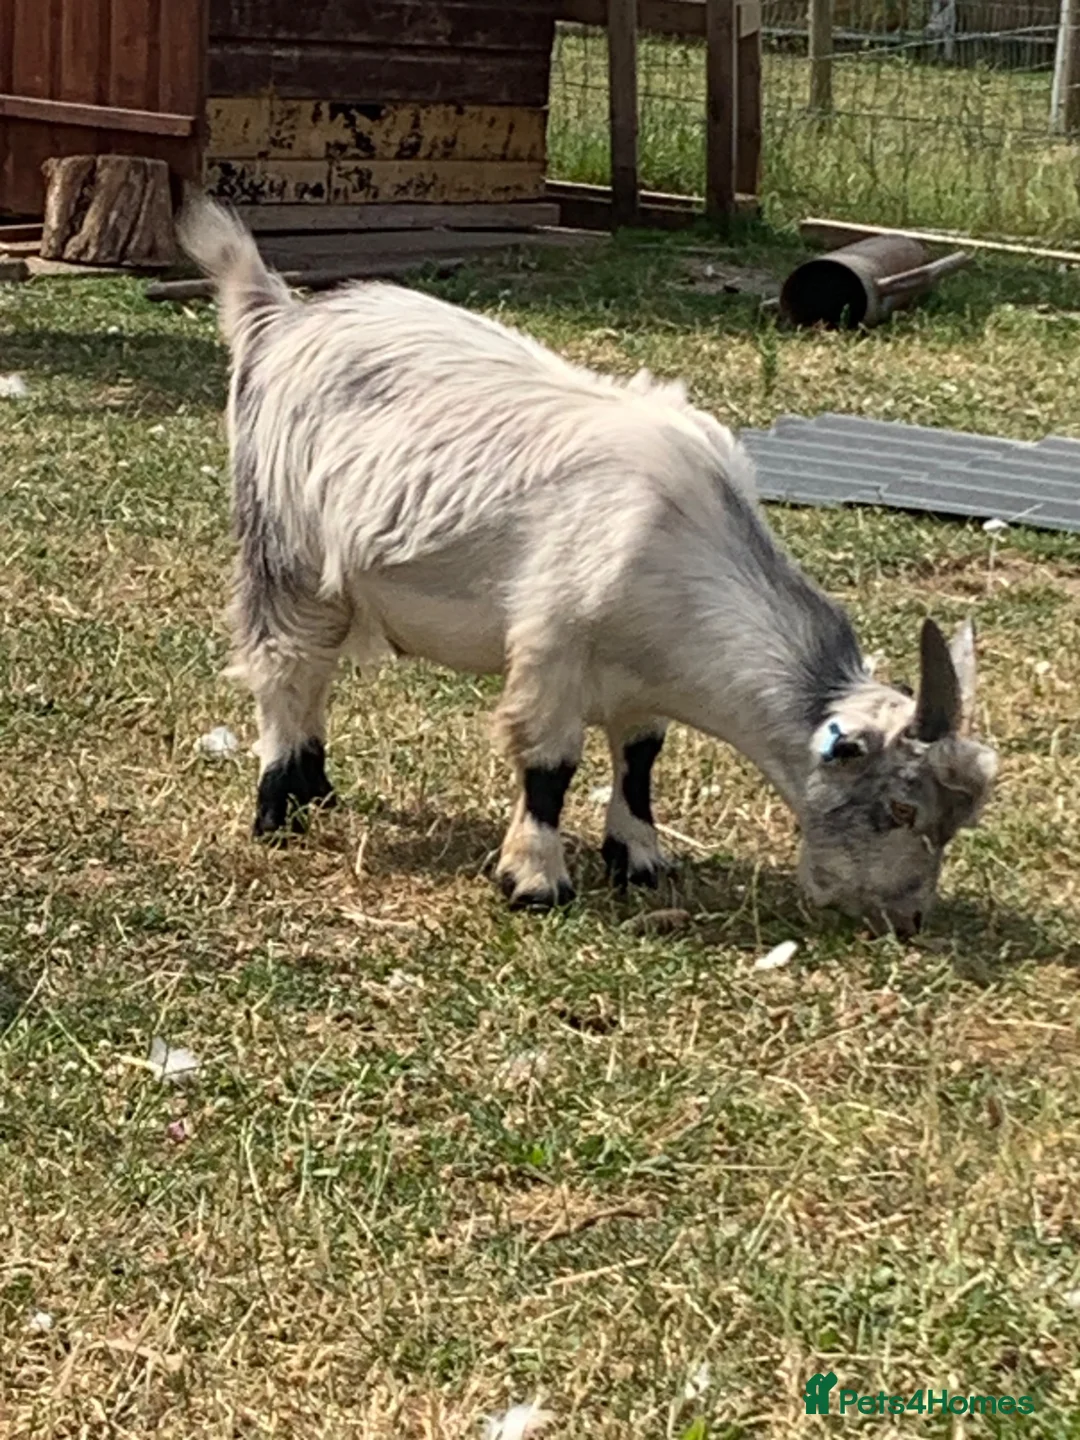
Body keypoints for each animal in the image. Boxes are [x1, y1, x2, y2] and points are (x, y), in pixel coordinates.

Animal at [179, 197, 997, 938]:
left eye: (960, 819)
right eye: (901, 807)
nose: (907, 919)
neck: (682, 537)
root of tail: (280, 316)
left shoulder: (643, 681)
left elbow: (639, 761)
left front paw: (639, 857)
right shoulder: (552, 649)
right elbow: (549, 764)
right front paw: (535, 879)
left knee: (317, 675)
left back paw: (318, 789)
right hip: (283, 550)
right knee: (286, 667)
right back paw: (280, 805)